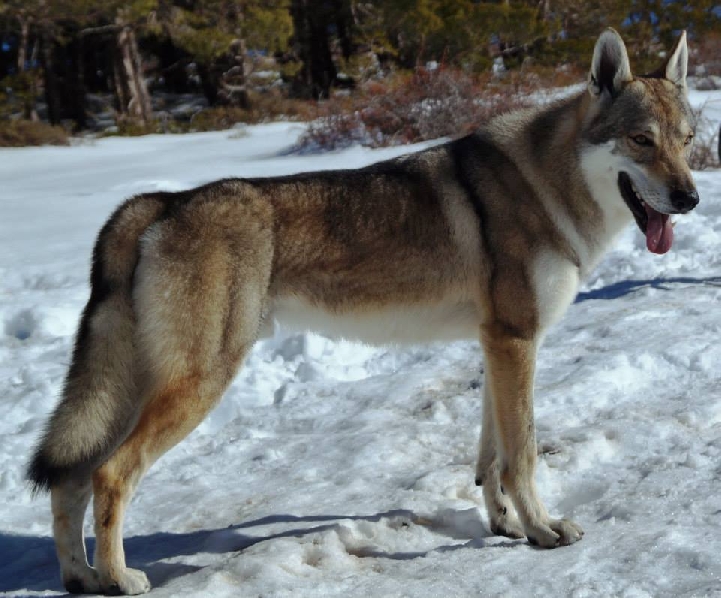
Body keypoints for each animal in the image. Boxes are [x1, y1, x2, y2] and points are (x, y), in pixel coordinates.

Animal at [28, 29, 698, 594]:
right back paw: (119, 578)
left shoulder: (499, 343)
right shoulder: (515, 340)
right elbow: (524, 454)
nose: (690, 197)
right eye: (641, 140)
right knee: (111, 474)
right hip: (195, 386)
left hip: (131, 391)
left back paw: (81, 577)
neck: (546, 185)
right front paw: (542, 531)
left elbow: (491, 461)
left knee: (69, 480)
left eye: (687, 141)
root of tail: (155, 203)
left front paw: (506, 526)